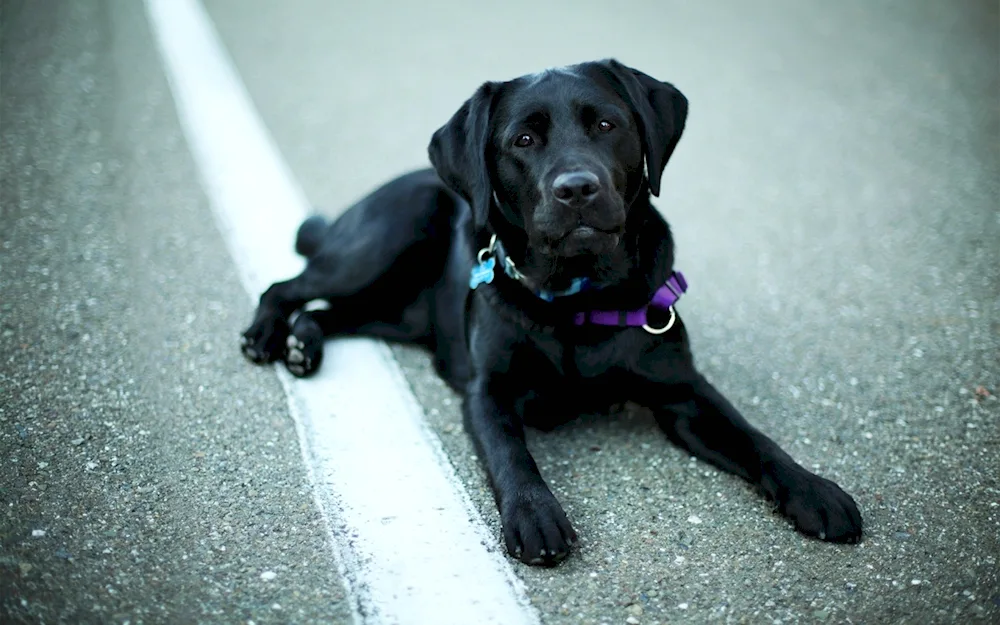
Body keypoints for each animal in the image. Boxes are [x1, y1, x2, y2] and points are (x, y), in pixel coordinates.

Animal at [238, 58, 864, 564]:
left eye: (607, 125)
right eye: (522, 140)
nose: (576, 188)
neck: (580, 299)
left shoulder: (684, 392)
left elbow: (754, 436)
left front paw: (813, 490)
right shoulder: (486, 393)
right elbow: (511, 455)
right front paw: (534, 516)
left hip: (398, 312)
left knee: (331, 312)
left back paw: (302, 344)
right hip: (384, 239)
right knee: (288, 286)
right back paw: (266, 336)